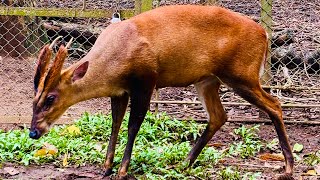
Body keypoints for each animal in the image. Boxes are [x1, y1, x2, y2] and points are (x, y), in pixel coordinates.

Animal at [30, 4, 296, 180]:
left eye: (51, 97)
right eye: (34, 100)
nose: (33, 132)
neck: (113, 62)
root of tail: (265, 35)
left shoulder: (146, 81)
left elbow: (133, 125)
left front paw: (122, 171)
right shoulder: (119, 91)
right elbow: (115, 124)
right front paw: (106, 167)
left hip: (241, 74)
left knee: (275, 104)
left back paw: (288, 167)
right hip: (208, 80)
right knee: (219, 116)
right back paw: (184, 163)